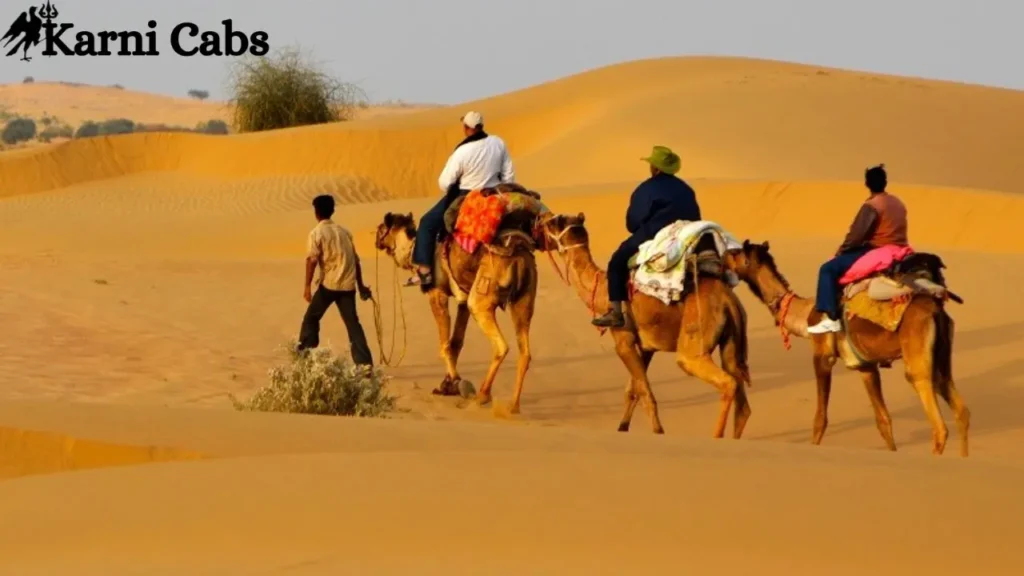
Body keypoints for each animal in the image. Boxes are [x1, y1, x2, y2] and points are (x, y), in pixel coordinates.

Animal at [376, 181, 548, 409]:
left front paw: (457, 382)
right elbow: (456, 342)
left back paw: (483, 395)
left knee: (501, 345)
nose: (376, 241)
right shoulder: (463, 300)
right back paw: (512, 406)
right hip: (525, 297)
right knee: (525, 351)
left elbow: (445, 344)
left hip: (484, 292)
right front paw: (446, 386)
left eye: (381, 229)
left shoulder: (437, 292)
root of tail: (517, 250)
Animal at [536, 213, 753, 436]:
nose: (541, 218)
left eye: (552, 222)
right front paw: (622, 427)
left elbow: (645, 392)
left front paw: (658, 431)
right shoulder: (646, 347)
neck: (602, 292)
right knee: (740, 395)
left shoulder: (623, 341)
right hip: (731, 339)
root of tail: (728, 300)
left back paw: (716, 436)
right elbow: (634, 391)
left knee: (725, 381)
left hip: (696, 333)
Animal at [724, 239, 970, 455]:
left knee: (937, 421)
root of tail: (936, 310)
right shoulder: (866, 366)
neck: (804, 314)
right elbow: (883, 420)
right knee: (960, 409)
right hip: (941, 356)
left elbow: (820, 419)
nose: (724, 256)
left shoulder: (822, 355)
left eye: (737, 252)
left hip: (917, 353)